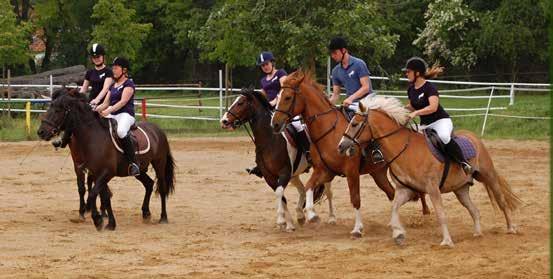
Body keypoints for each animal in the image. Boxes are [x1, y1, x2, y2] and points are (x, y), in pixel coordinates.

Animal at [37, 89, 175, 232]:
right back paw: (146, 213)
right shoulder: (96, 172)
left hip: (159, 164)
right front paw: (110, 223)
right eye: (49, 107)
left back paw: (163, 218)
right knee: (149, 184)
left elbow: (93, 194)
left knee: (162, 187)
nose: (41, 132)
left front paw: (97, 219)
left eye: (58, 110)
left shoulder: (106, 173)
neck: (93, 137)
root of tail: (157, 130)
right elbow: (104, 196)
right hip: (140, 170)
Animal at [221, 89, 334, 232]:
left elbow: (279, 192)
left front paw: (281, 220)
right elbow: (281, 197)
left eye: (240, 103)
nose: (224, 121)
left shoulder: (284, 173)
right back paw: (300, 215)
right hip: (294, 175)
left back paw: (331, 218)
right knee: (302, 190)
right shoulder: (270, 177)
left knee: (328, 192)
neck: (269, 141)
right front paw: (290, 224)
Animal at [270, 70, 430, 238]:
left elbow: (355, 199)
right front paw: (311, 215)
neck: (329, 131)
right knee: (392, 194)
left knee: (415, 192)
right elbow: (309, 186)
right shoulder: (324, 171)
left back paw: (424, 213)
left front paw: (357, 228)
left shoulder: (351, 172)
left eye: (287, 97)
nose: (275, 124)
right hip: (378, 174)